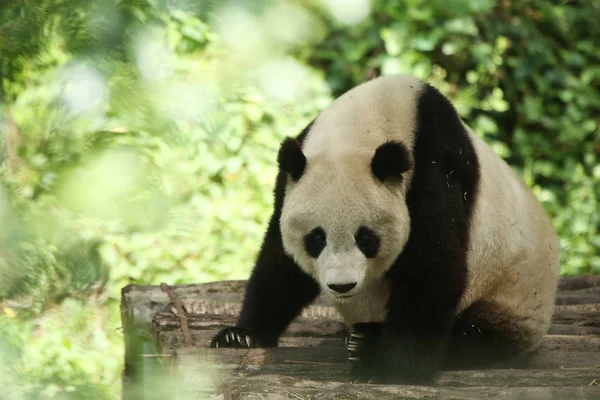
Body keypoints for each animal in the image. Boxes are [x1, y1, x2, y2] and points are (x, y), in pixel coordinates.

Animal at [209, 73, 560, 382]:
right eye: (316, 238)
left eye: (366, 238)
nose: (342, 286)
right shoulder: (292, 180)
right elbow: (280, 265)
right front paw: (240, 336)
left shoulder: (435, 170)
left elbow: (431, 269)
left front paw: (395, 370)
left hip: (512, 293)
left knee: (477, 337)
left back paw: (368, 342)